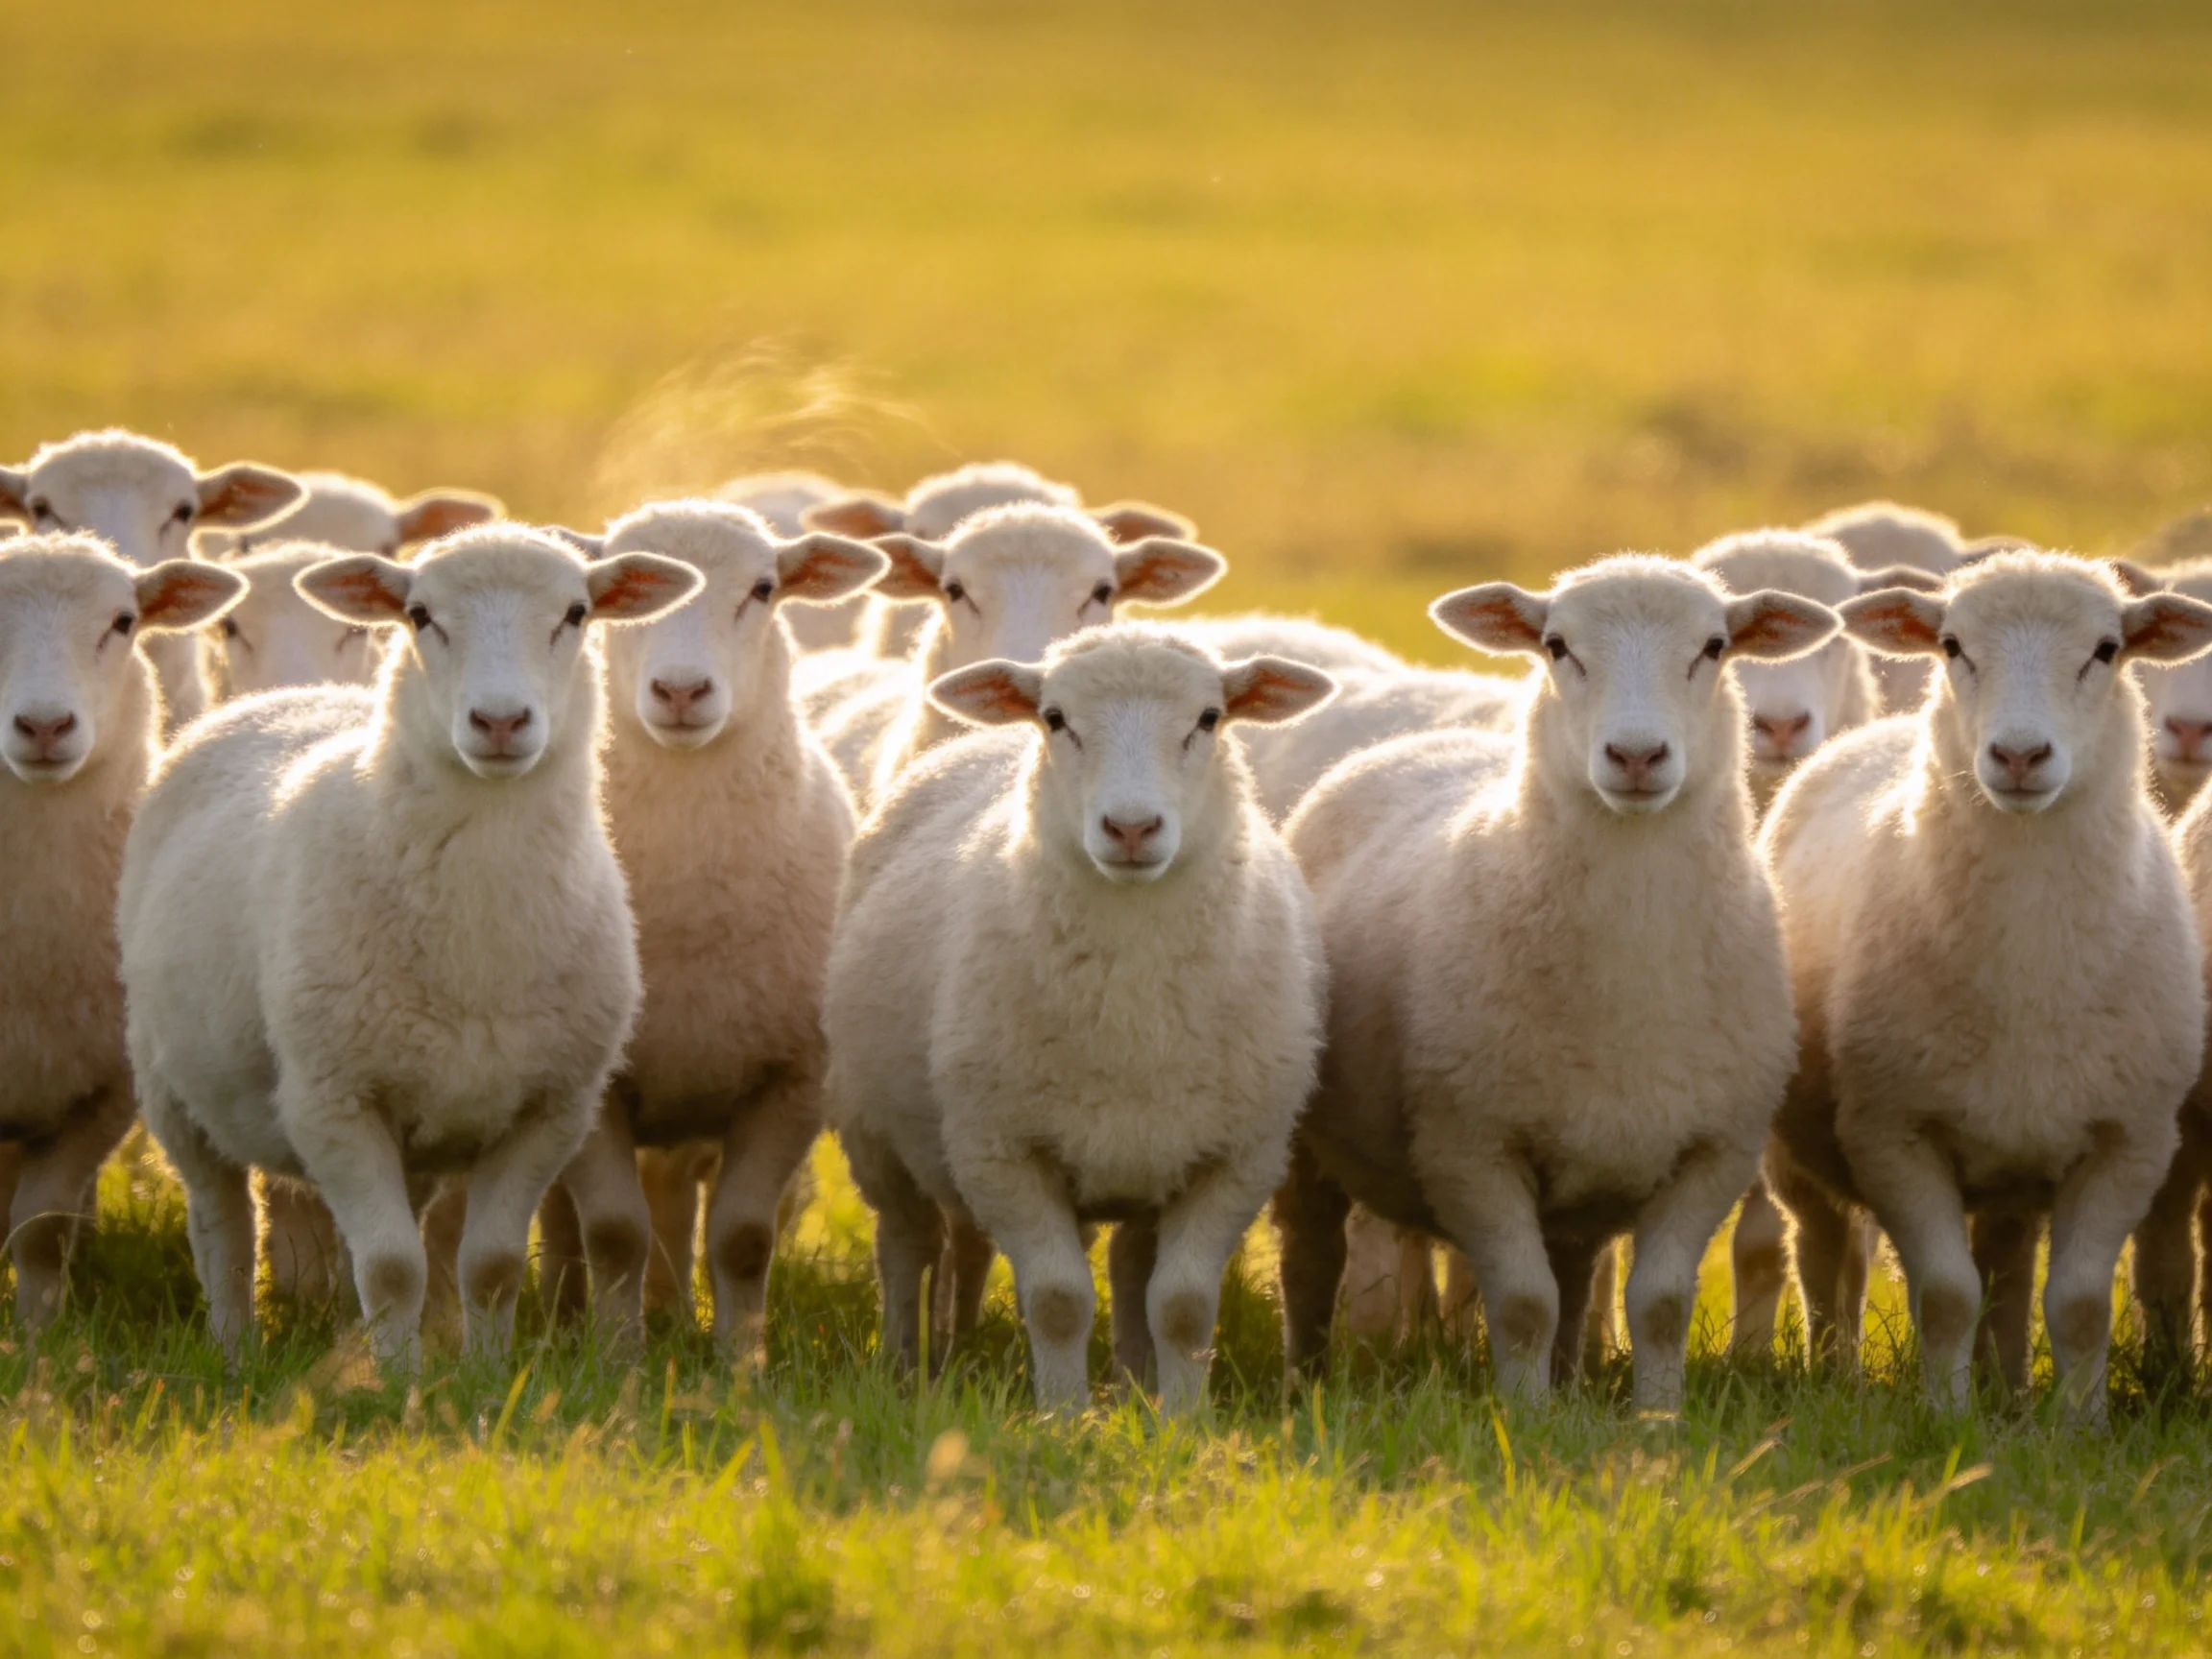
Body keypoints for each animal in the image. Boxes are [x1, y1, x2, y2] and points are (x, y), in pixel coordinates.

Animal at [116, 527, 699, 1366]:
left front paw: (486, 1373)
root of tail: (290, 698)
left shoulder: (549, 1109)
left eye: (576, 613)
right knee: (222, 1226)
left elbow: (488, 1265)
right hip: (173, 1088)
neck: (477, 938)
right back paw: (234, 1349)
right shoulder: (333, 1102)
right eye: (421, 615)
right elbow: (391, 1267)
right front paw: (397, 1381)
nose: (499, 722)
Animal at [522, 500, 885, 1355]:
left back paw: (675, 1315)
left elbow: (742, 1236)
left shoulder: (791, 1078)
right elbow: (613, 1230)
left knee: (678, 1205)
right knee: (566, 1216)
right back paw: (566, 1315)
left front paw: (738, 1362)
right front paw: (614, 1361)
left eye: (763, 588)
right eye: (619, 606)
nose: (681, 691)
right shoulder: (597, 1082)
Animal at [823, 626, 1334, 1415]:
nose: (1131, 827)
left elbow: (1184, 1306)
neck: (1132, 1008)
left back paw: (1119, 1381)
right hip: (876, 1135)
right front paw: (1063, 1416)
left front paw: (1183, 1421)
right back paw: (905, 1368)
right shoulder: (1002, 1150)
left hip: (1141, 1154)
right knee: (908, 1245)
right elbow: (1059, 1301)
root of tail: (974, 744)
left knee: (1100, 1262)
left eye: (1210, 718)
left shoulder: (1235, 1157)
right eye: (1056, 718)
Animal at [1274, 557, 1833, 1408]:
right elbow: (1522, 1303)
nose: (1636, 756)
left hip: (1583, 1175)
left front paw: (1657, 1418)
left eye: (1714, 646)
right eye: (1557, 645)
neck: (1630, 966)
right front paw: (1525, 1417)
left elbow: (1660, 1305)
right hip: (1313, 1146)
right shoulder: (1471, 1147)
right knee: (1311, 1261)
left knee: (1574, 1279)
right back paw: (1305, 1380)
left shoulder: (1713, 1153)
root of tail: (1424, 739)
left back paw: (1573, 1386)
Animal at [1761, 552, 2212, 1419]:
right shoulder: (1893, 1133)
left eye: (2107, 650)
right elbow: (1945, 1294)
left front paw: (2080, 1427)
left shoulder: (2130, 1140)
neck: (2027, 968)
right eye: (1952, 645)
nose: (2020, 757)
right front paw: (1947, 1420)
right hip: (1799, 1152)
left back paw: (2009, 1392)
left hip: (2015, 1150)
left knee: (2005, 1266)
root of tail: (1876, 730)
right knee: (1827, 1254)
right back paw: (1836, 1375)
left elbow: (2078, 1303)